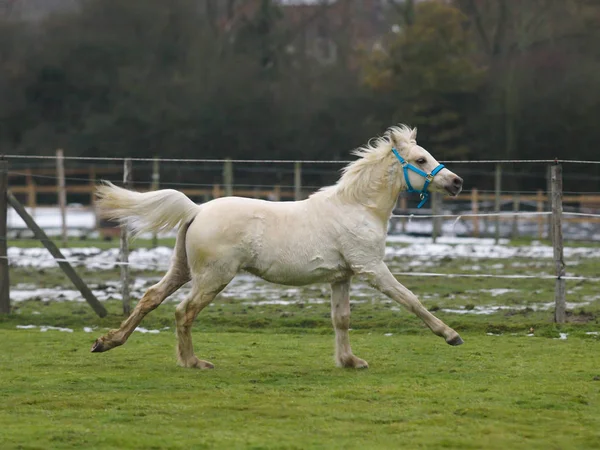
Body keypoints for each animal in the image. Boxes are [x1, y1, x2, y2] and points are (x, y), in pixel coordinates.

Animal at [90, 125, 464, 370]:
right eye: (421, 159)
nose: (456, 182)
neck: (358, 208)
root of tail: (196, 210)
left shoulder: (341, 277)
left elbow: (341, 319)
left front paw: (349, 361)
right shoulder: (371, 268)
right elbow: (411, 300)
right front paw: (450, 335)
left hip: (183, 270)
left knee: (151, 298)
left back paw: (106, 342)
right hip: (213, 278)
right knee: (184, 312)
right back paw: (194, 362)